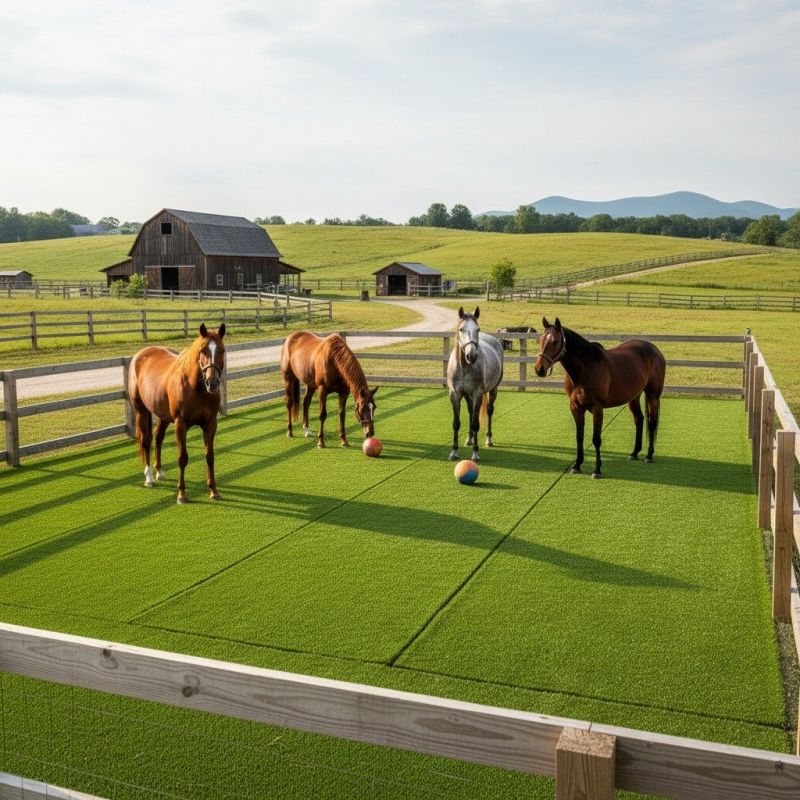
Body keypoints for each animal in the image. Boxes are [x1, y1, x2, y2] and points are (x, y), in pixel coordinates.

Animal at [127, 323, 226, 504]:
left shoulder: (210, 423)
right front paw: (181, 494)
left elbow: (209, 456)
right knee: (146, 441)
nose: (212, 383)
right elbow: (182, 458)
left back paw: (159, 472)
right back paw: (149, 477)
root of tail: (140, 355)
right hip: (141, 410)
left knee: (158, 438)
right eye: (203, 350)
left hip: (164, 415)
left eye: (222, 350)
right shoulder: (181, 424)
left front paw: (214, 491)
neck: (196, 388)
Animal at [447, 306, 504, 462]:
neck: (463, 367)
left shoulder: (477, 394)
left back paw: (488, 440)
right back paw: (469, 439)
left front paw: (475, 453)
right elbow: (456, 423)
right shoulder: (455, 395)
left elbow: (475, 423)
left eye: (477, 329)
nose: (471, 356)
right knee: (470, 412)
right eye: (461, 329)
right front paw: (454, 451)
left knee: (489, 411)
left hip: (493, 390)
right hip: (468, 396)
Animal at [534, 317, 665, 478]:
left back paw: (649, 455)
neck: (585, 369)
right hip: (633, 397)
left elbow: (596, 439)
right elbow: (579, 437)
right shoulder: (576, 407)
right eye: (540, 339)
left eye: (556, 341)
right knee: (639, 419)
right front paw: (577, 465)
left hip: (653, 395)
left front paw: (597, 469)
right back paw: (634, 453)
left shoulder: (597, 408)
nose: (539, 369)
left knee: (652, 422)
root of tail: (655, 350)